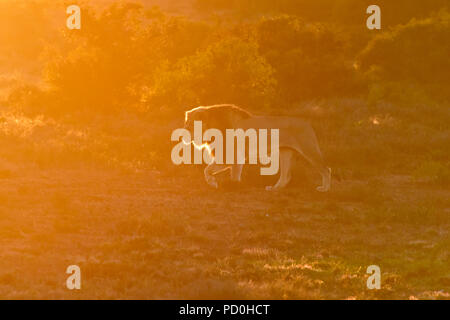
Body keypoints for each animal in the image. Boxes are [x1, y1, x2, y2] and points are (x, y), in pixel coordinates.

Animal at [183, 104, 330, 191]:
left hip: (309, 150)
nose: (182, 136)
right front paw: (213, 183)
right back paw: (274, 189)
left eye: (189, 125)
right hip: (285, 152)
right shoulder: (227, 157)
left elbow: (230, 175)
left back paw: (325, 189)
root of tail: (306, 121)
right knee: (285, 177)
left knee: (326, 169)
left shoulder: (232, 156)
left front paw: (233, 187)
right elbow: (207, 171)